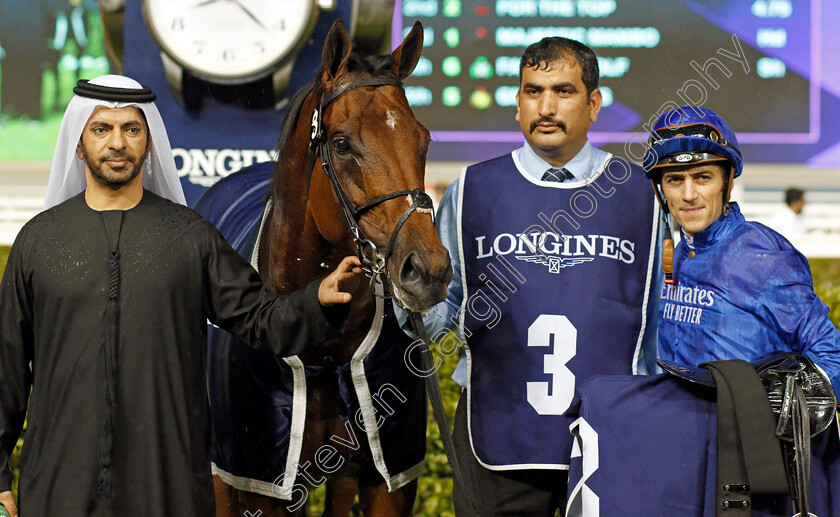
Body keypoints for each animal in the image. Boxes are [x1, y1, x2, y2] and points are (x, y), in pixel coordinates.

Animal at [195, 18, 452, 512]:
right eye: (341, 143)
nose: (427, 270)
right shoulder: (262, 482)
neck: (329, 349)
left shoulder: (388, 480)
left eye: (424, 138)